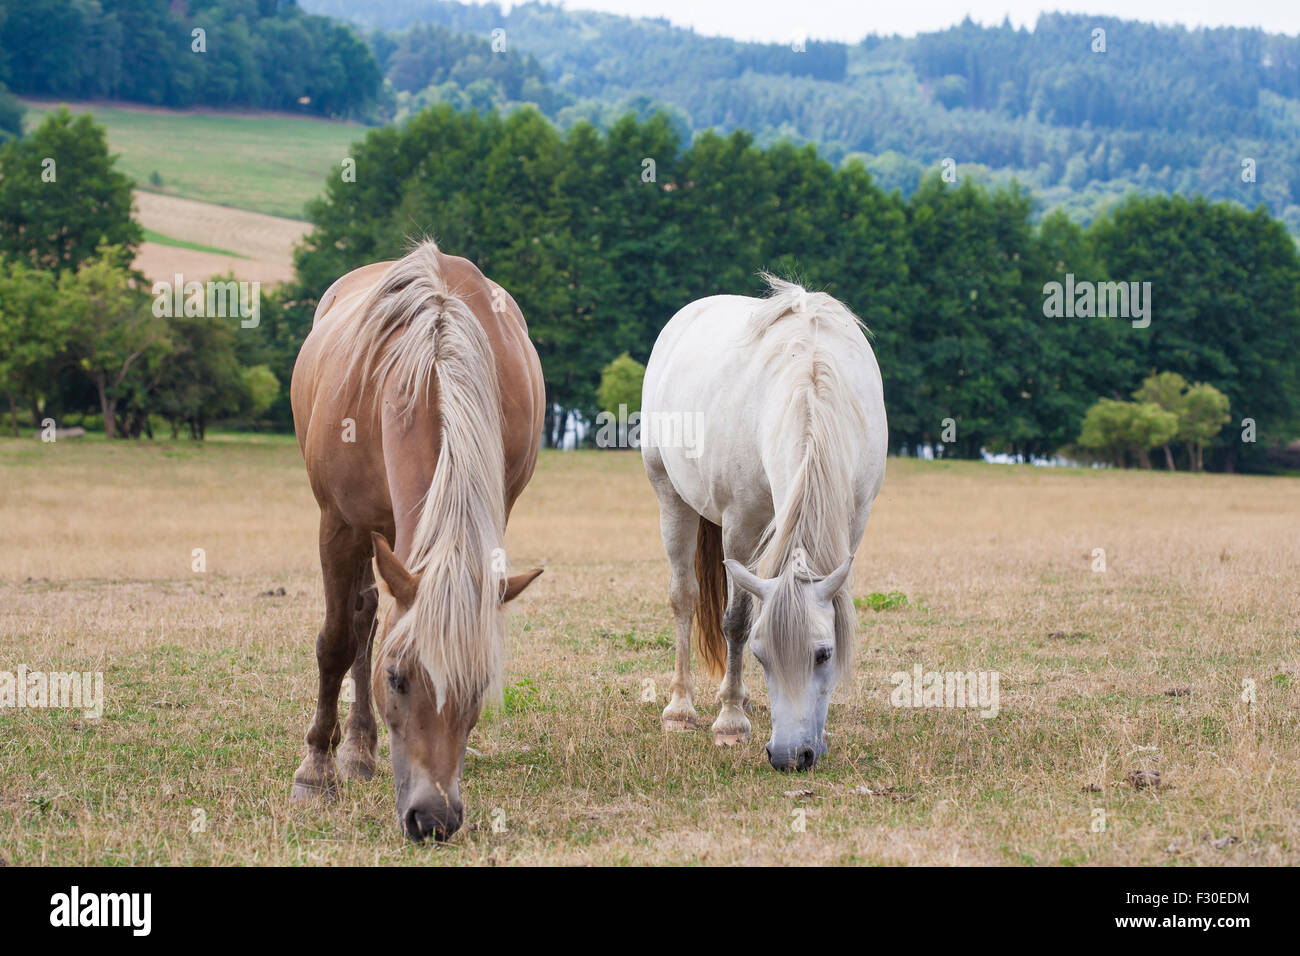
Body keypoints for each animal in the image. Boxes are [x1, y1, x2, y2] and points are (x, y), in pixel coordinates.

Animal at [288, 243, 543, 842]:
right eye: (397, 679)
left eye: (479, 688)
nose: (433, 819)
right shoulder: (339, 524)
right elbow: (337, 641)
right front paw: (315, 771)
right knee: (360, 619)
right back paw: (350, 753)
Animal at [642, 274, 889, 770]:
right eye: (761, 655)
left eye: (824, 654)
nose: (791, 756)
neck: (811, 382)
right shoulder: (741, 525)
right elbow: (736, 620)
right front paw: (730, 723)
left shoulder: (854, 520)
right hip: (670, 497)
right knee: (684, 597)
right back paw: (682, 709)